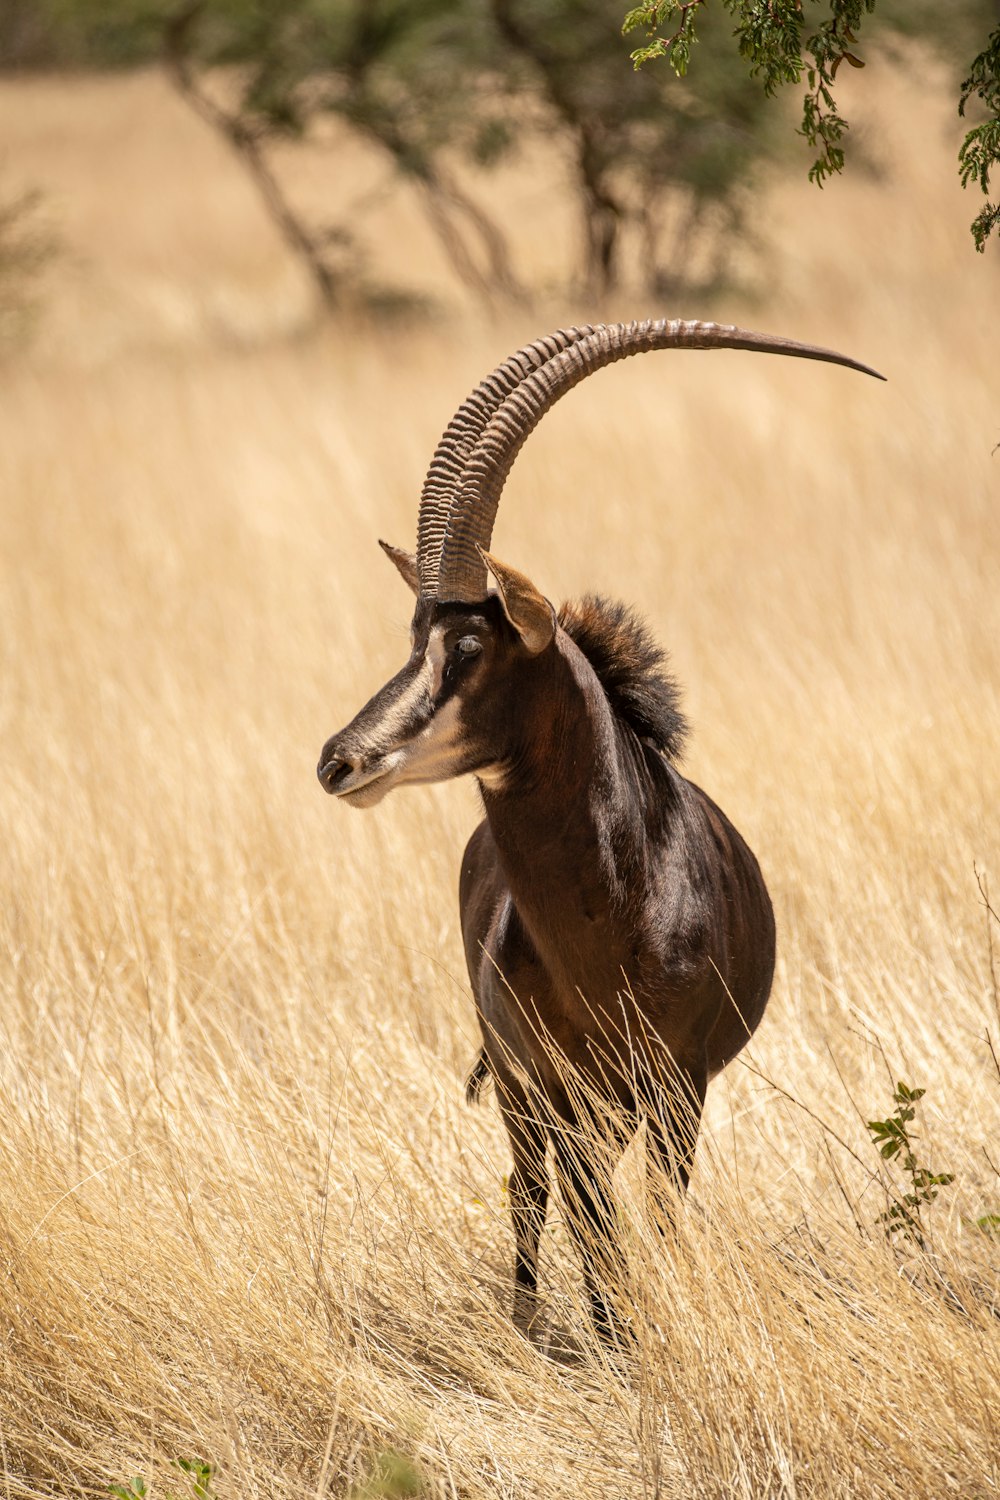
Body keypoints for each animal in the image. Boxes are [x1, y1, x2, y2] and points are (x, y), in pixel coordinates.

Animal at [319, 316, 881, 1338]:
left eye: (468, 642)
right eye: (411, 637)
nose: (340, 761)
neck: (615, 911)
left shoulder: (678, 1086)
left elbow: (649, 1221)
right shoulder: (554, 1081)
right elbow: (588, 1221)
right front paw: (609, 1340)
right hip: (526, 1091)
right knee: (532, 1190)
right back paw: (530, 1322)